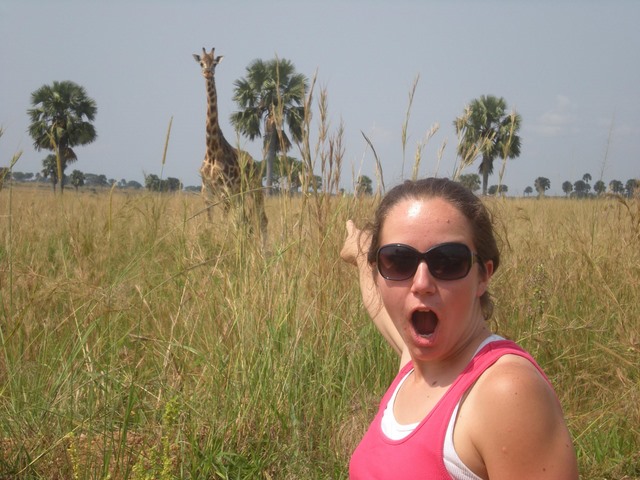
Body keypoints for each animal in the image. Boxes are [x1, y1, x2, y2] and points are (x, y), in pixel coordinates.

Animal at [192, 47, 268, 238]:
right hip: (239, 195)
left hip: (254, 189)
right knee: (245, 222)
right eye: (201, 63)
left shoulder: (225, 191)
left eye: (214, 63)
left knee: (261, 219)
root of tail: (253, 163)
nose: (207, 73)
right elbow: (211, 223)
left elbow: (224, 224)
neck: (212, 149)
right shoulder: (207, 191)